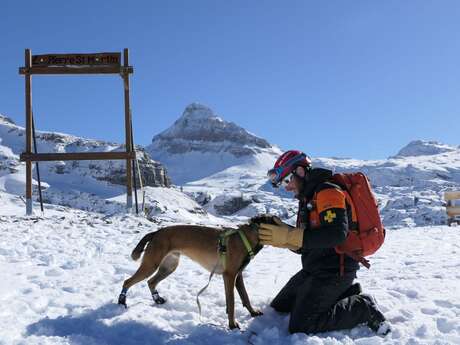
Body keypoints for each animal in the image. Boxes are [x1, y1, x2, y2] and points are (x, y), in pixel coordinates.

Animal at [117, 212, 278, 328]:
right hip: (151, 265)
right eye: (278, 221)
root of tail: (157, 232)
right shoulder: (229, 276)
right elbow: (232, 302)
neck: (245, 238)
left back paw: (157, 299)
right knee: (128, 281)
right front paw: (232, 325)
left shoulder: (238, 276)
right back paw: (122, 301)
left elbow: (245, 297)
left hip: (168, 267)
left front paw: (253, 312)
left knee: (151, 282)